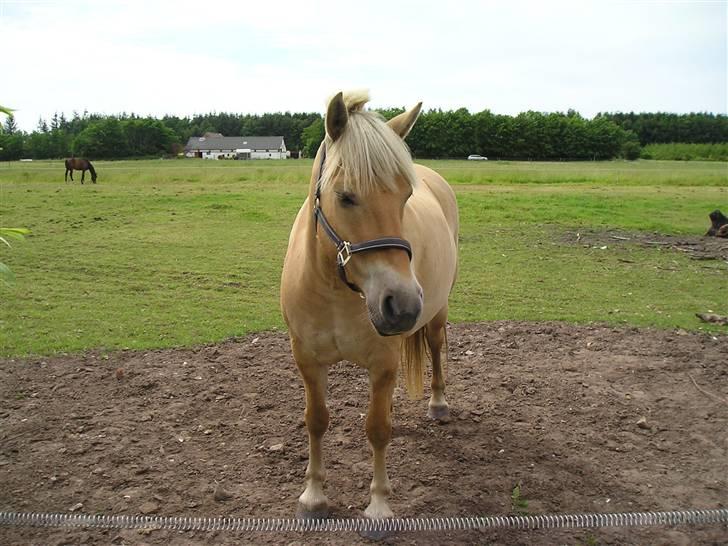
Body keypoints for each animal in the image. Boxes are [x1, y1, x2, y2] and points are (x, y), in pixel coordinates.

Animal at [280, 91, 458, 520]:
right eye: (345, 196)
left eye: (405, 196)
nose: (403, 304)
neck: (335, 291)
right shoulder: (306, 359)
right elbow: (316, 421)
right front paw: (313, 496)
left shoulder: (383, 362)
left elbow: (377, 429)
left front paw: (378, 506)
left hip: (437, 313)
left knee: (435, 346)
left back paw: (438, 403)